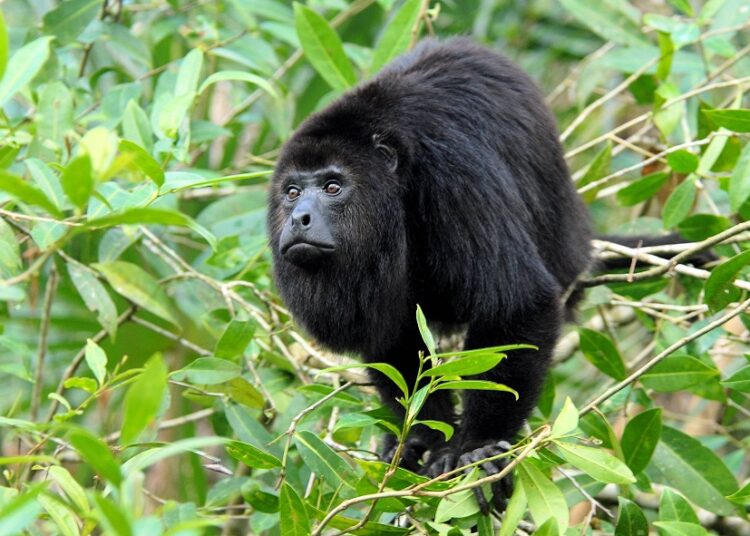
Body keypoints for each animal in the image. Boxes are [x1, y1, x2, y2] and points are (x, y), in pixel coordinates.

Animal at [266, 37, 691, 512]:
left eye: (333, 187)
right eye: (293, 191)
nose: (298, 218)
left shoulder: (453, 172)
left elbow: (518, 303)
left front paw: (478, 448)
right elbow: (392, 339)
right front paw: (423, 441)